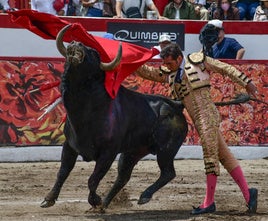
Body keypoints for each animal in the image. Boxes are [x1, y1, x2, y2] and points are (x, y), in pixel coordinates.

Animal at [40, 25, 188, 210]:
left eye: (94, 53)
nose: (76, 43)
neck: (85, 110)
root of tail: (175, 104)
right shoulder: (70, 146)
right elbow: (62, 172)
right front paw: (49, 199)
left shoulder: (108, 153)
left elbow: (93, 179)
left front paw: (95, 200)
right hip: (134, 151)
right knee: (123, 177)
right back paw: (106, 204)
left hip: (166, 150)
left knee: (168, 173)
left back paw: (143, 196)